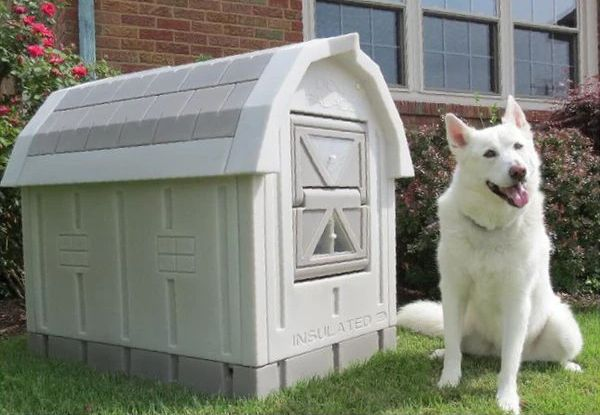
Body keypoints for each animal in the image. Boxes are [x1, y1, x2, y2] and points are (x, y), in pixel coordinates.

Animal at [396, 96, 584, 414]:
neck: (491, 227)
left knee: (536, 358)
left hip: (563, 330)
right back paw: (441, 352)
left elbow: (510, 364)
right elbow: (454, 351)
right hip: (459, 321)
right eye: (489, 154)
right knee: (458, 344)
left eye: (518, 147)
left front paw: (506, 398)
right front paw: (449, 379)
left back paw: (567, 366)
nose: (519, 171)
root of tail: (491, 350)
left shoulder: (516, 299)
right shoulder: (453, 291)